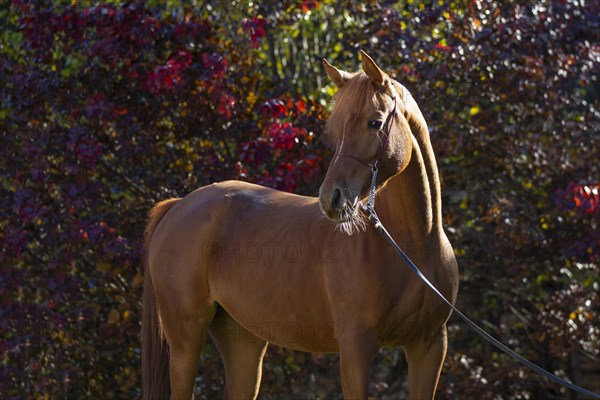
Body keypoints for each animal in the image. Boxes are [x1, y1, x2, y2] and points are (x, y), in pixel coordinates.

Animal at [142, 50, 460, 400]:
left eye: (375, 122)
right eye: (337, 130)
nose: (331, 199)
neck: (415, 247)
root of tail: (178, 207)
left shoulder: (429, 346)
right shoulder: (357, 349)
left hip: (243, 342)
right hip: (185, 341)